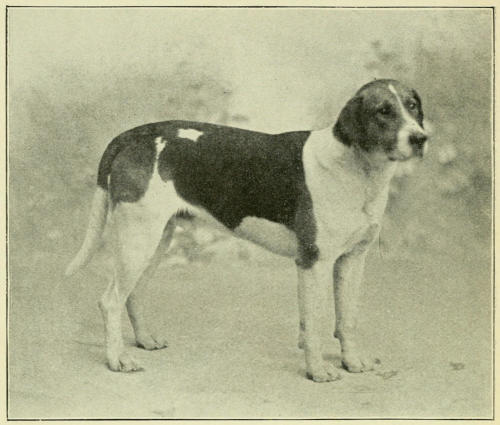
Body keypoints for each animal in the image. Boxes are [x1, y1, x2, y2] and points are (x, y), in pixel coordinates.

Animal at [66, 79, 428, 382]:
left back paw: (144, 340)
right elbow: (314, 325)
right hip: (138, 239)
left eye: (412, 106)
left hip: (155, 240)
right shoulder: (313, 262)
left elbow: (347, 319)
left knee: (134, 293)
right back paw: (118, 359)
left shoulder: (352, 261)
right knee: (111, 300)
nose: (420, 138)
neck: (358, 168)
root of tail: (134, 134)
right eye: (383, 111)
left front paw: (352, 362)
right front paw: (318, 371)